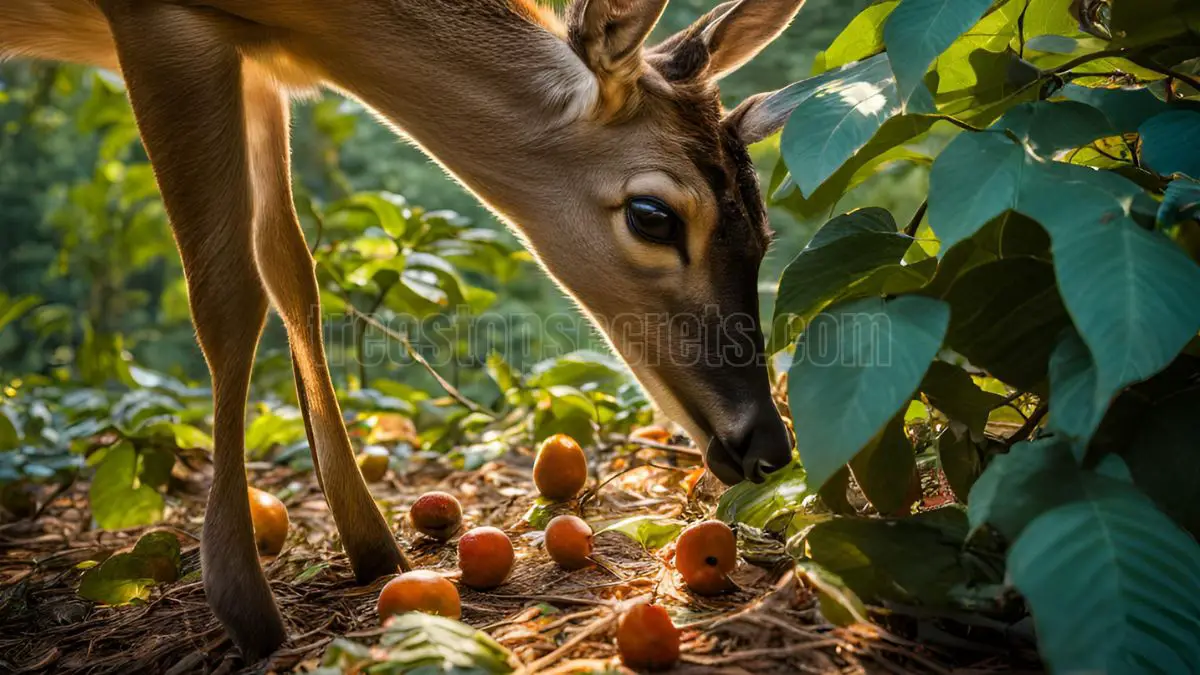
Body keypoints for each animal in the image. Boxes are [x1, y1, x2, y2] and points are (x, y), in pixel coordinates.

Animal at [4, 0, 811, 658]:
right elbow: (228, 297)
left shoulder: (255, 63)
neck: (302, 26)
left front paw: (372, 546)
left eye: (764, 225)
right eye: (653, 215)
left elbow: (292, 271)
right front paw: (244, 601)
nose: (768, 445)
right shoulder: (158, 23)